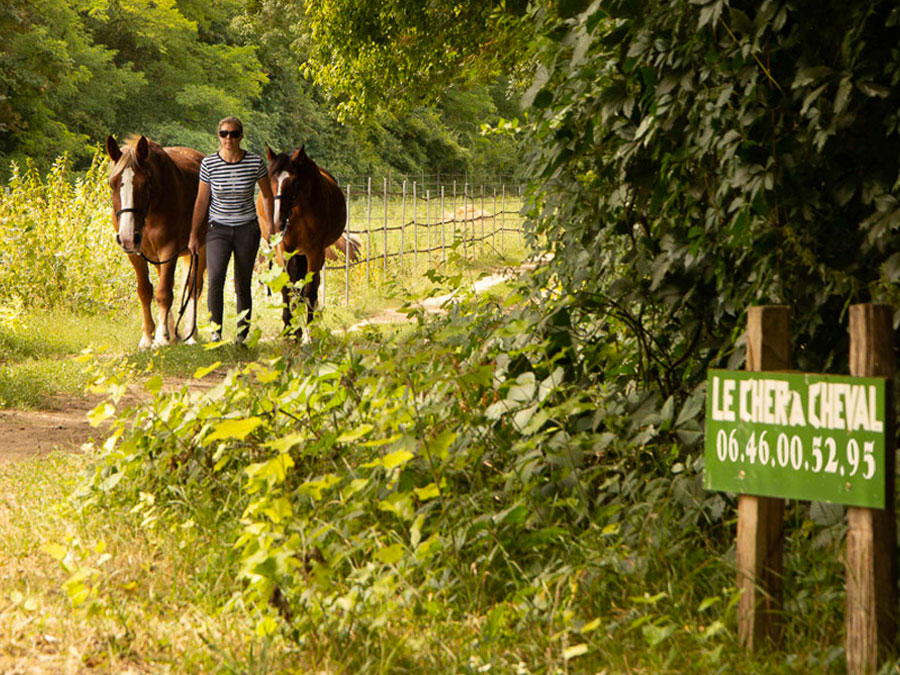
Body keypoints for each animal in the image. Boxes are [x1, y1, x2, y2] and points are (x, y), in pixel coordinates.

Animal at [106, 135, 208, 352]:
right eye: (112, 184)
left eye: (145, 183)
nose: (127, 236)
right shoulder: (134, 253)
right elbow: (145, 291)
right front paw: (147, 337)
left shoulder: (168, 249)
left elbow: (163, 293)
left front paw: (161, 337)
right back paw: (174, 332)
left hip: (200, 249)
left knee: (194, 287)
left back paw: (190, 333)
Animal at [260, 148, 348, 338]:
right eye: (269, 180)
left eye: (293, 181)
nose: (277, 222)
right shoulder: (283, 249)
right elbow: (287, 286)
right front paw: (289, 328)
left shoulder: (314, 251)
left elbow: (310, 288)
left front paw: (309, 328)